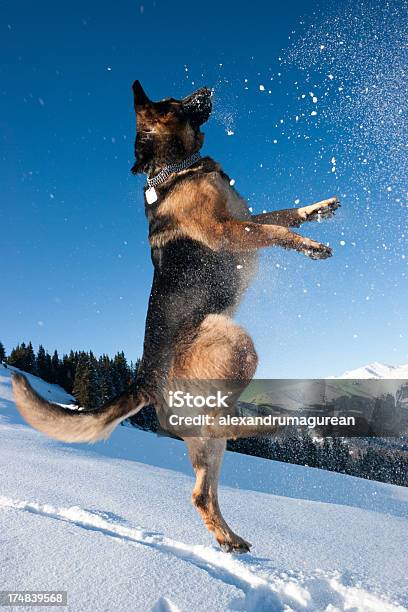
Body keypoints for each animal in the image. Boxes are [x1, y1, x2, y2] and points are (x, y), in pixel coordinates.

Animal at [11, 79, 340, 552]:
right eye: (171, 103)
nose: (206, 88)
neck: (175, 169)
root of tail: (144, 379)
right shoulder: (227, 232)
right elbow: (275, 230)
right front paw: (311, 246)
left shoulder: (243, 217)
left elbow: (282, 216)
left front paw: (317, 210)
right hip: (233, 343)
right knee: (219, 428)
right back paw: (266, 426)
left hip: (208, 430)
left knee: (202, 491)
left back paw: (230, 538)